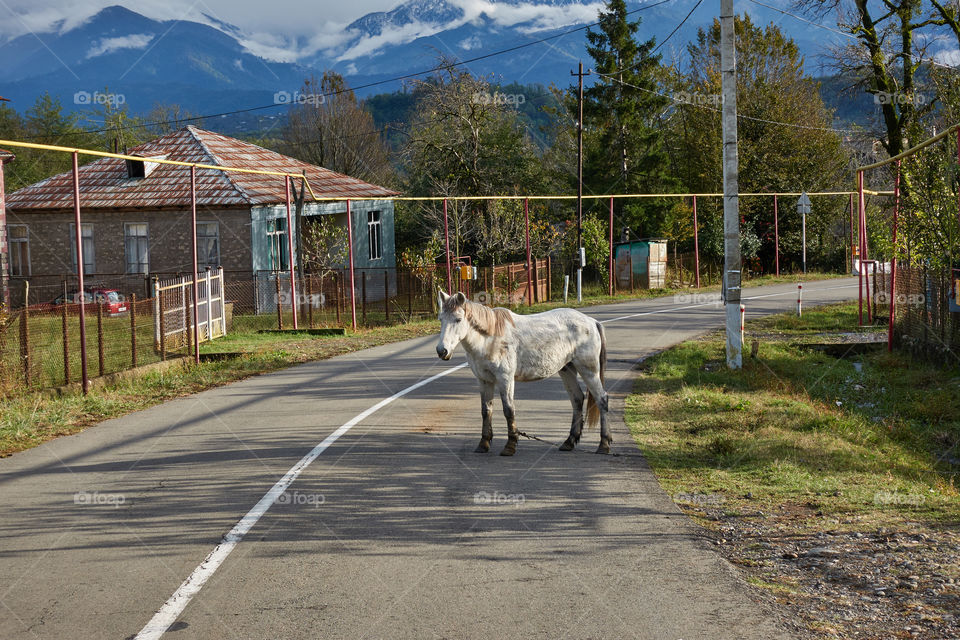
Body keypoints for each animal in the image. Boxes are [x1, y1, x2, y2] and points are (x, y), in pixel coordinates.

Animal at [436, 290, 608, 456]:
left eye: (458, 319)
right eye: (440, 319)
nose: (442, 351)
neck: (490, 339)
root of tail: (592, 321)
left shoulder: (505, 379)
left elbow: (508, 410)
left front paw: (509, 447)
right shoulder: (484, 380)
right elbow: (486, 411)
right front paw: (483, 444)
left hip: (589, 370)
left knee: (602, 399)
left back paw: (604, 444)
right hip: (567, 369)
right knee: (577, 399)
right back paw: (569, 442)